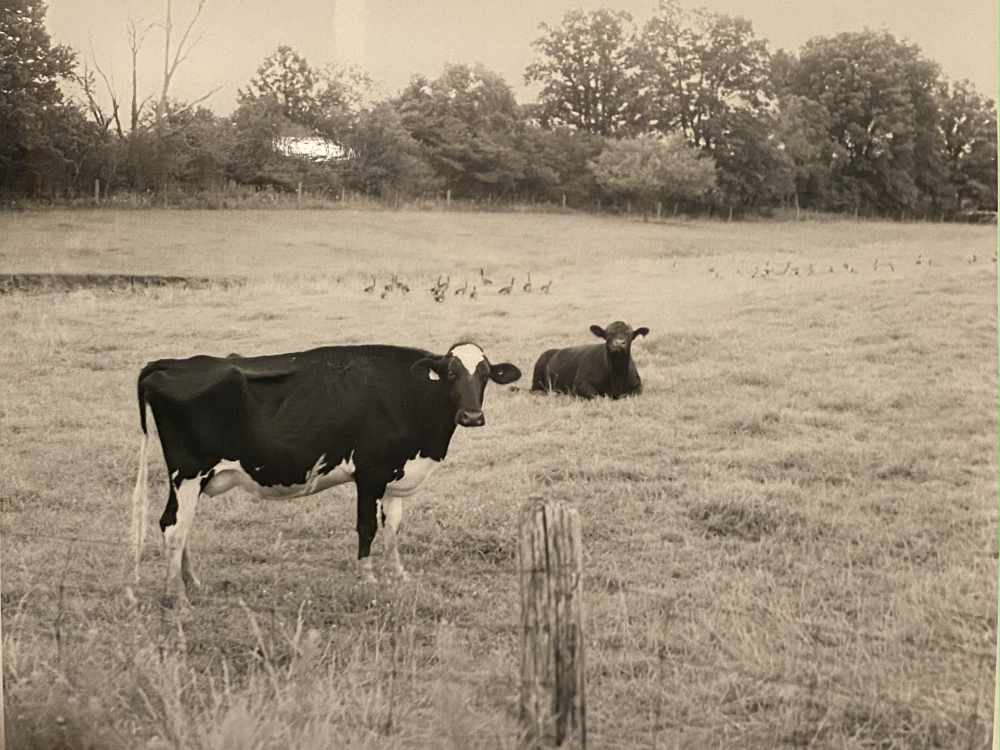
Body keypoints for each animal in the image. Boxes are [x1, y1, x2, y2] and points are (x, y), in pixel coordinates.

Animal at [130, 341, 522, 607]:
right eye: (452, 374)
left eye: (485, 375)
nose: (472, 416)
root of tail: (169, 364)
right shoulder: (370, 473)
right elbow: (367, 528)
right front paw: (368, 579)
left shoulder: (395, 475)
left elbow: (393, 529)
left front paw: (399, 576)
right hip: (187, 473)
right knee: (173, 527)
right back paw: (177, 596)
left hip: (193, 480)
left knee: (180, 526)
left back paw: (192, 583)